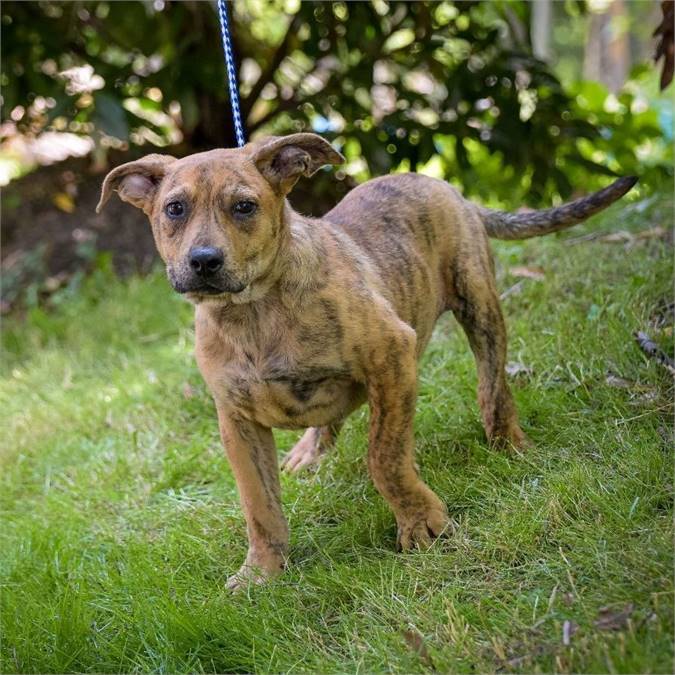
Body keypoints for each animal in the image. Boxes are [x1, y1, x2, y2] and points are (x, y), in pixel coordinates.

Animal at [96, 133, 640, 592]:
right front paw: (262, 572)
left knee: (493, 384)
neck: (253, 311)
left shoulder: (393, 356)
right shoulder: (236, 419)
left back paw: (507, 441)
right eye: (174, 209)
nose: (204, 261)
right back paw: (312, 451)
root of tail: (441, 184)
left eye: (244, 207)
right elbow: (259, 504)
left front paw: (421, 524)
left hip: (478, 301)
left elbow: (385, 457)